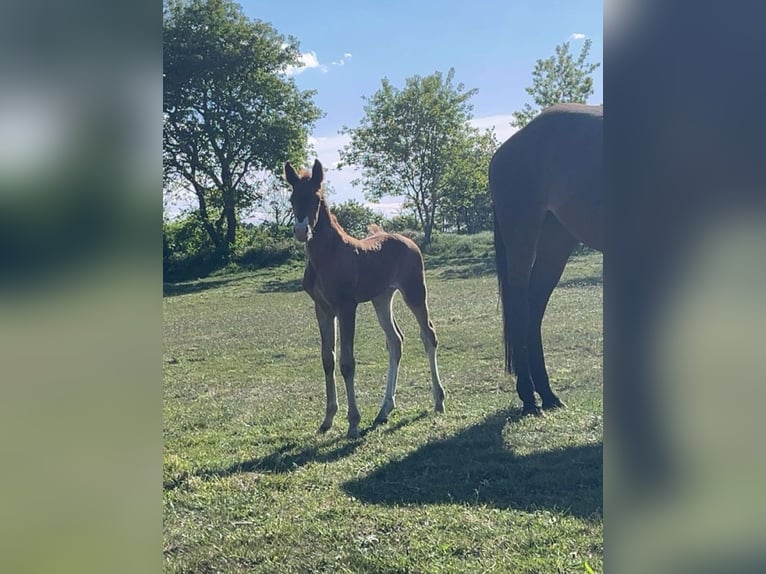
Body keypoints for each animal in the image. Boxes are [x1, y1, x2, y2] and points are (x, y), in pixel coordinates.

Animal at [284, 159, 445, 439]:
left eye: (316, 198)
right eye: (293, 198)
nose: (302, 231)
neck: (327, 257)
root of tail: (408, 240)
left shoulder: (346, 307)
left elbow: (347, 363)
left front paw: (353, 423)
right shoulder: (322, 308)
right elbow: (328, 359)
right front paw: (328, 419)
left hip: (415, 292)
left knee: (428, 335)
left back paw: (438, 401)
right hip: (382, 299)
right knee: (396, 341)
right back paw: (384, 409)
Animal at [490, 103, 603, 416]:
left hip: (556, 242)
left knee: (534, 307)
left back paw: (547, 394)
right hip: (523, 239)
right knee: (520, 309)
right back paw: (530, 396)